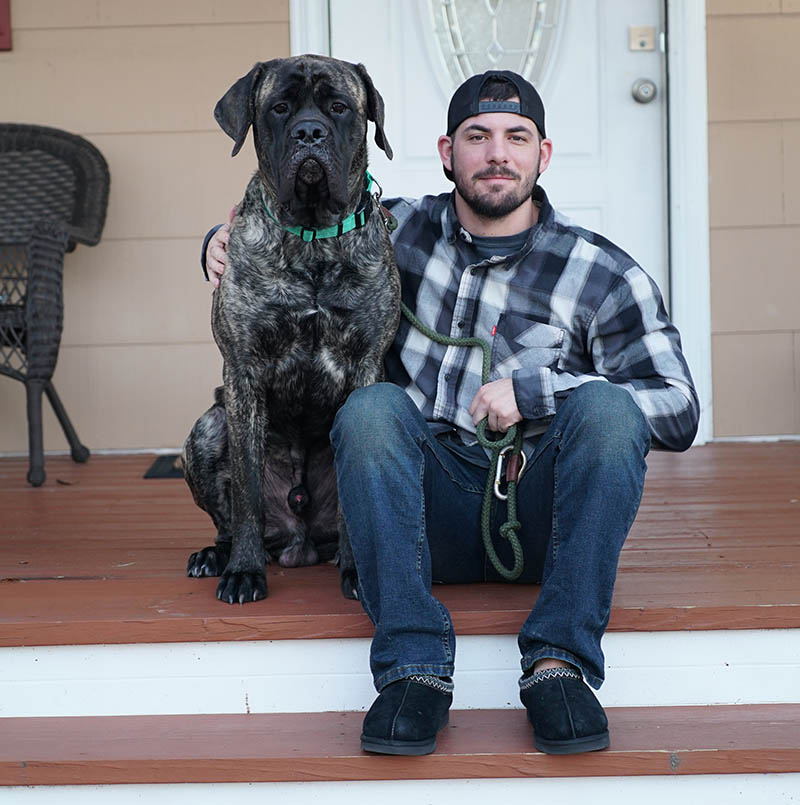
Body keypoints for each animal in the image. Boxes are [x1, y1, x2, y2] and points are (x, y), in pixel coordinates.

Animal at [185, 55, 404, 604]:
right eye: (280, 108)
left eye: (339, 107)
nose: (309, 132)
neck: (312, 237)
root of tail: (298, 544)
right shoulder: (242, 373)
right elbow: (246, 494)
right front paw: (243, 573)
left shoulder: (365, 367)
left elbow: (354, 502)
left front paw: (357, 572)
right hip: (207, 427)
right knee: (233, 519)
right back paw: (217, 556)